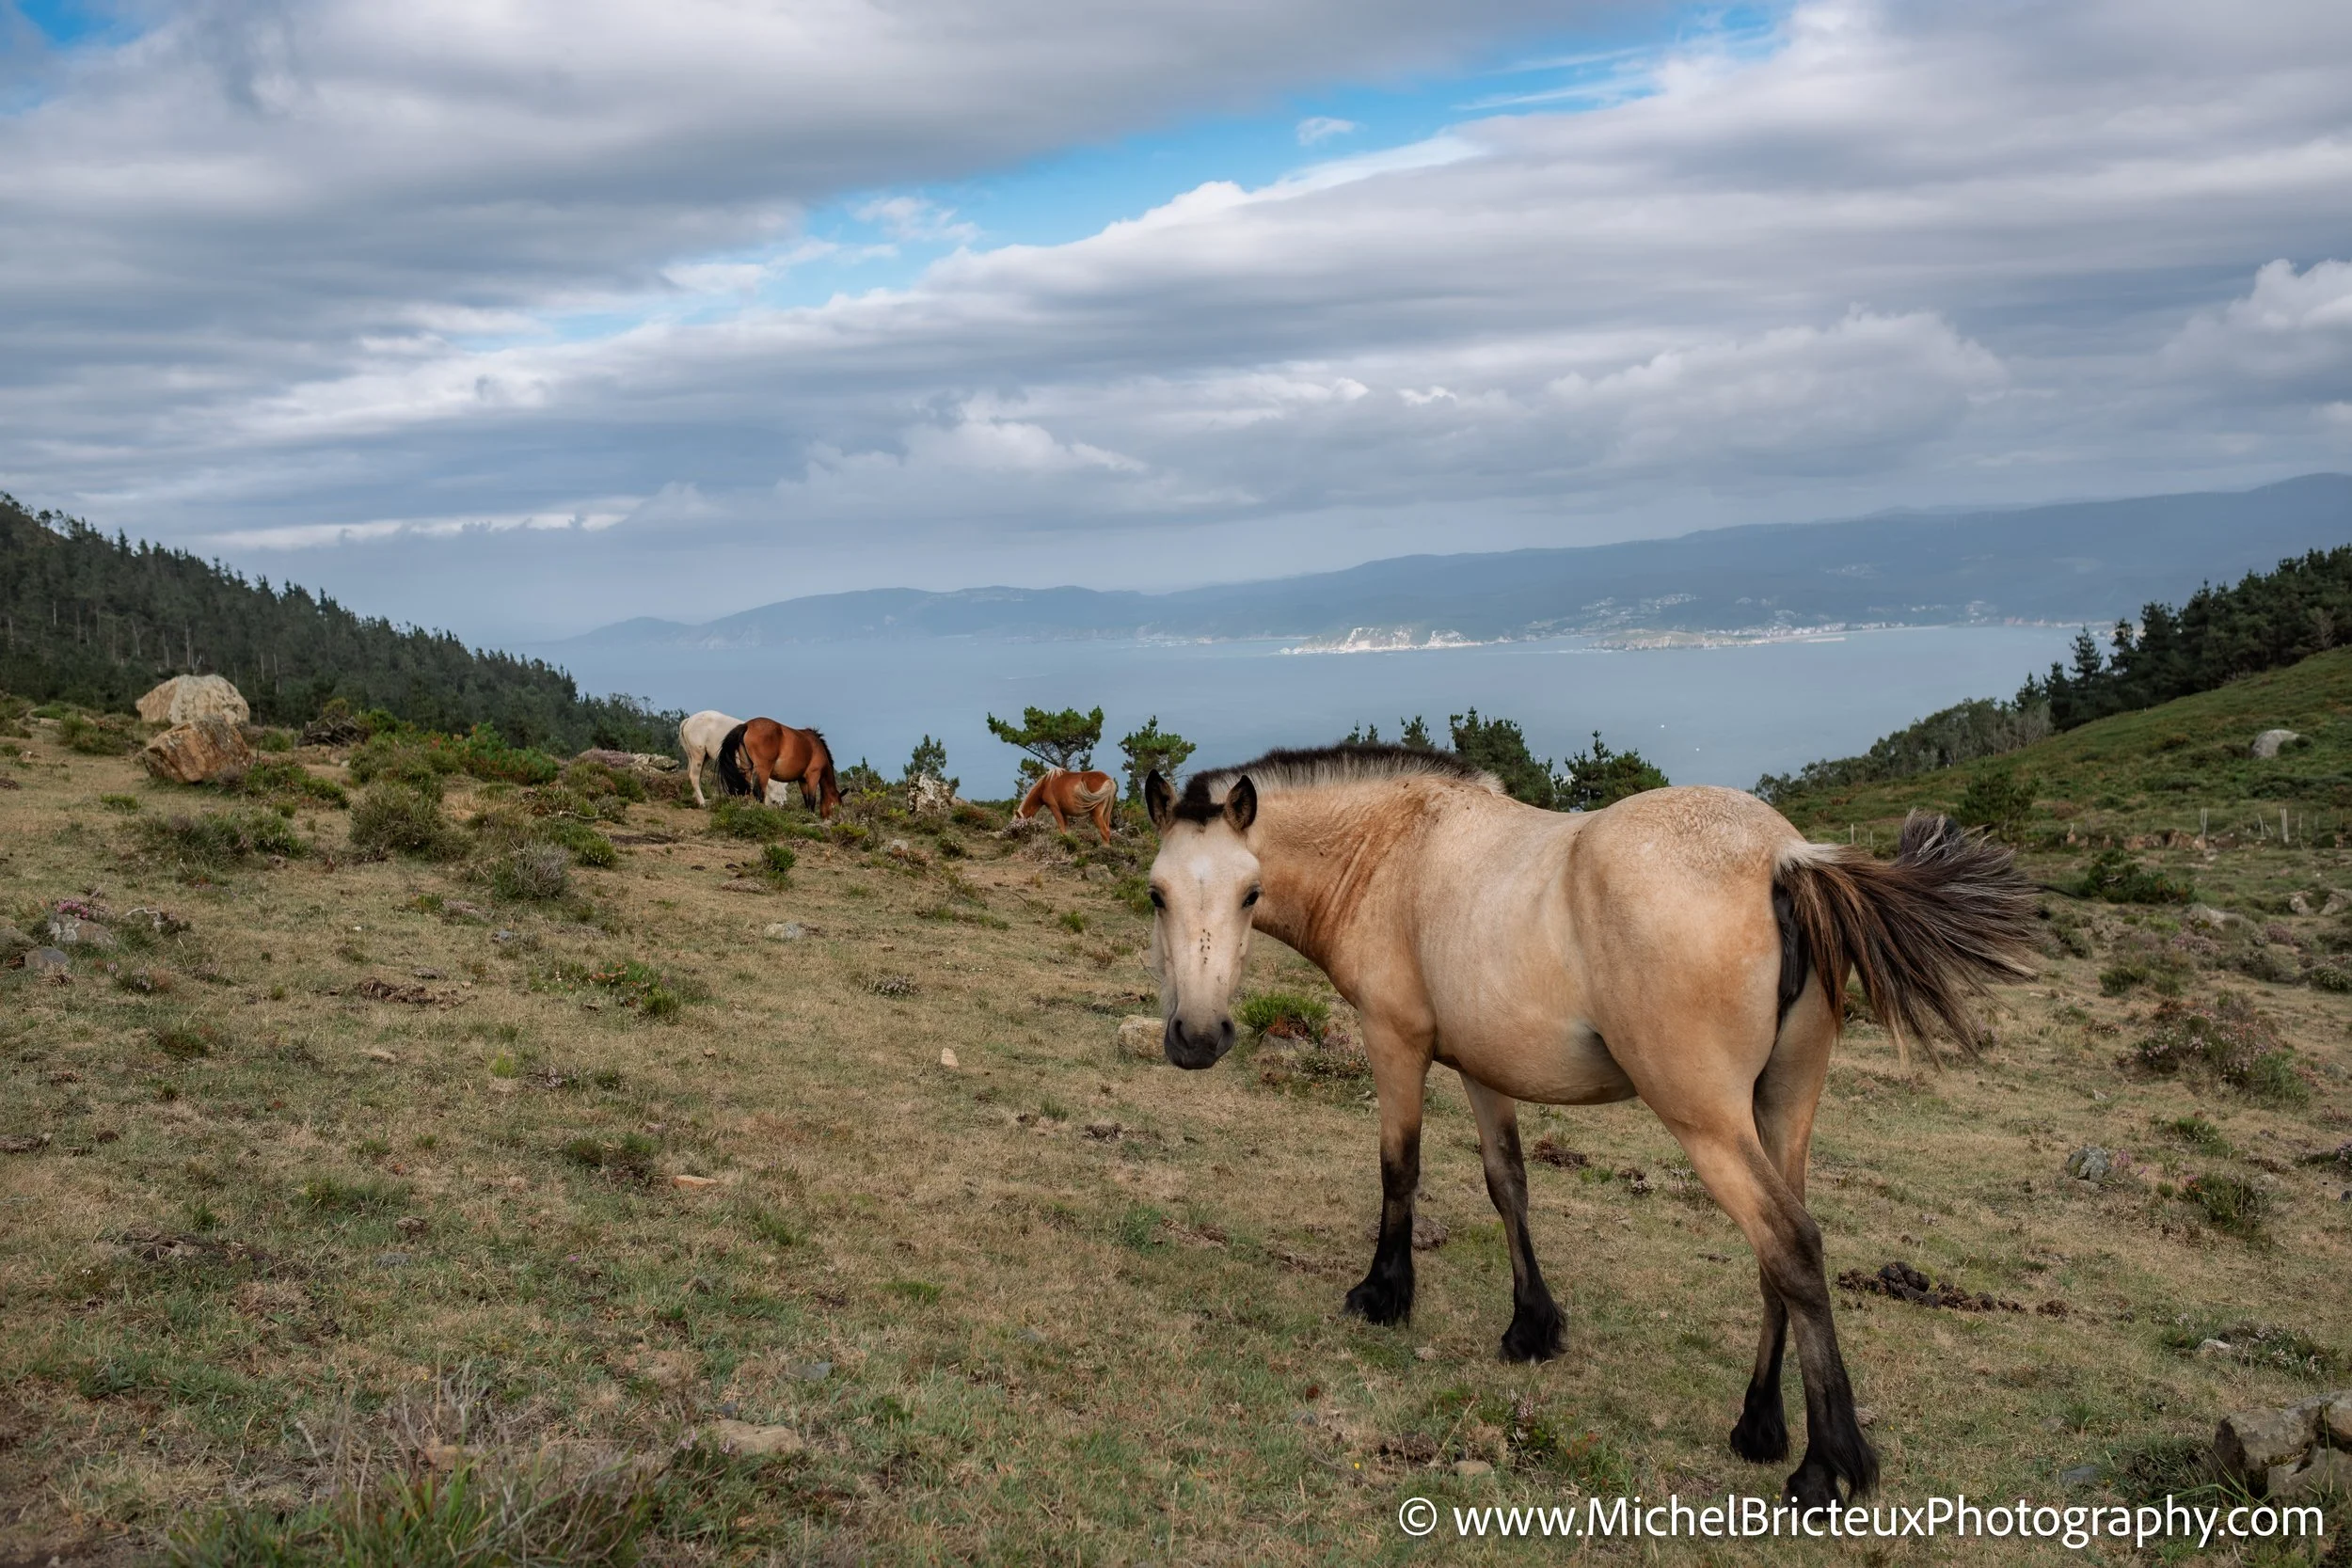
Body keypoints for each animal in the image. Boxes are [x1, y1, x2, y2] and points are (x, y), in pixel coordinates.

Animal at [718, 718, 842, 820]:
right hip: (763, 770)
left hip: (746, 766)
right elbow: (812, 799)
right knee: (759, 791)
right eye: (835, 806)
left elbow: (806, 798)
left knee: (746, 789)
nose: (836, 821)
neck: (817, 747)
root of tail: (747, 725)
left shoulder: (802, 780)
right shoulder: (813, 776)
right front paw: (811, 816)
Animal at [1140, 746, 2035, 1510]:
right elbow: (1508, 1183)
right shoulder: (1481, 1066)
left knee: (1789, 1242)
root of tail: (1782, 858)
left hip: (1708, 1120)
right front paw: (1533, 1326)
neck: (1395, 849)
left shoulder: (1394, 1041)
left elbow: (1400, 1167)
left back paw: (1824, 1468)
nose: (1197, 1037)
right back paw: (1758, 1425)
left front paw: (1384, 1294)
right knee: (1780, 1260)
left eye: (1249, 893)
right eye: (1157, 893)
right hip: (1782, 1110)